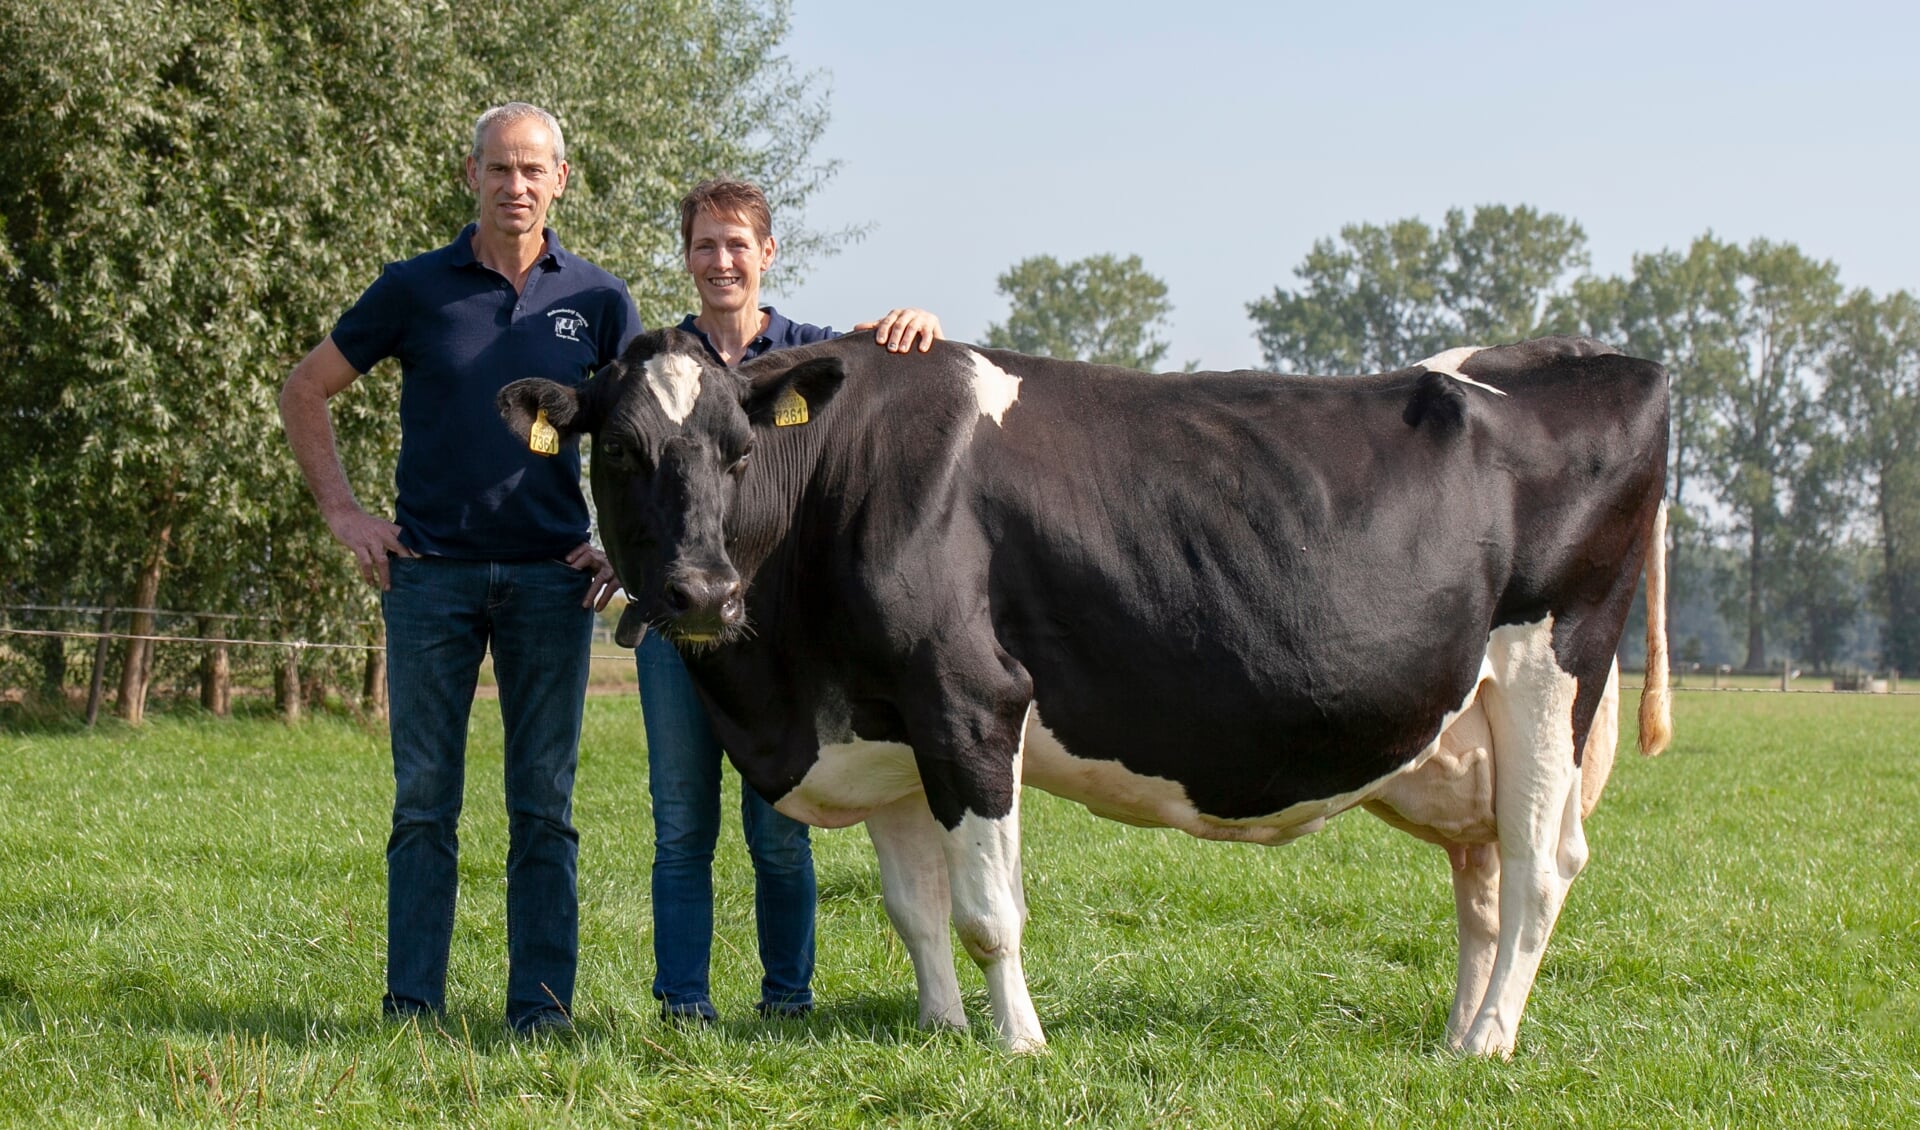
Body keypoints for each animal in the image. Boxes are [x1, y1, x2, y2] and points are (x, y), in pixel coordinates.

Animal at [503, 329, 1674, 1051]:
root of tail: (1610, 362)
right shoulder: (888, 729)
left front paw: (1018, 1042)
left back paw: (1487, 1044)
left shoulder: (970, 697)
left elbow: (987, 909)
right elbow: (914, 909)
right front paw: (941, 1032)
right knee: (1484, 880)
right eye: (619, 449)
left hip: (1549, 674)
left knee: (1540, 870)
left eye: (740, 447)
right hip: (1470, 725)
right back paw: (1456, 1033)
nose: (702, 588)